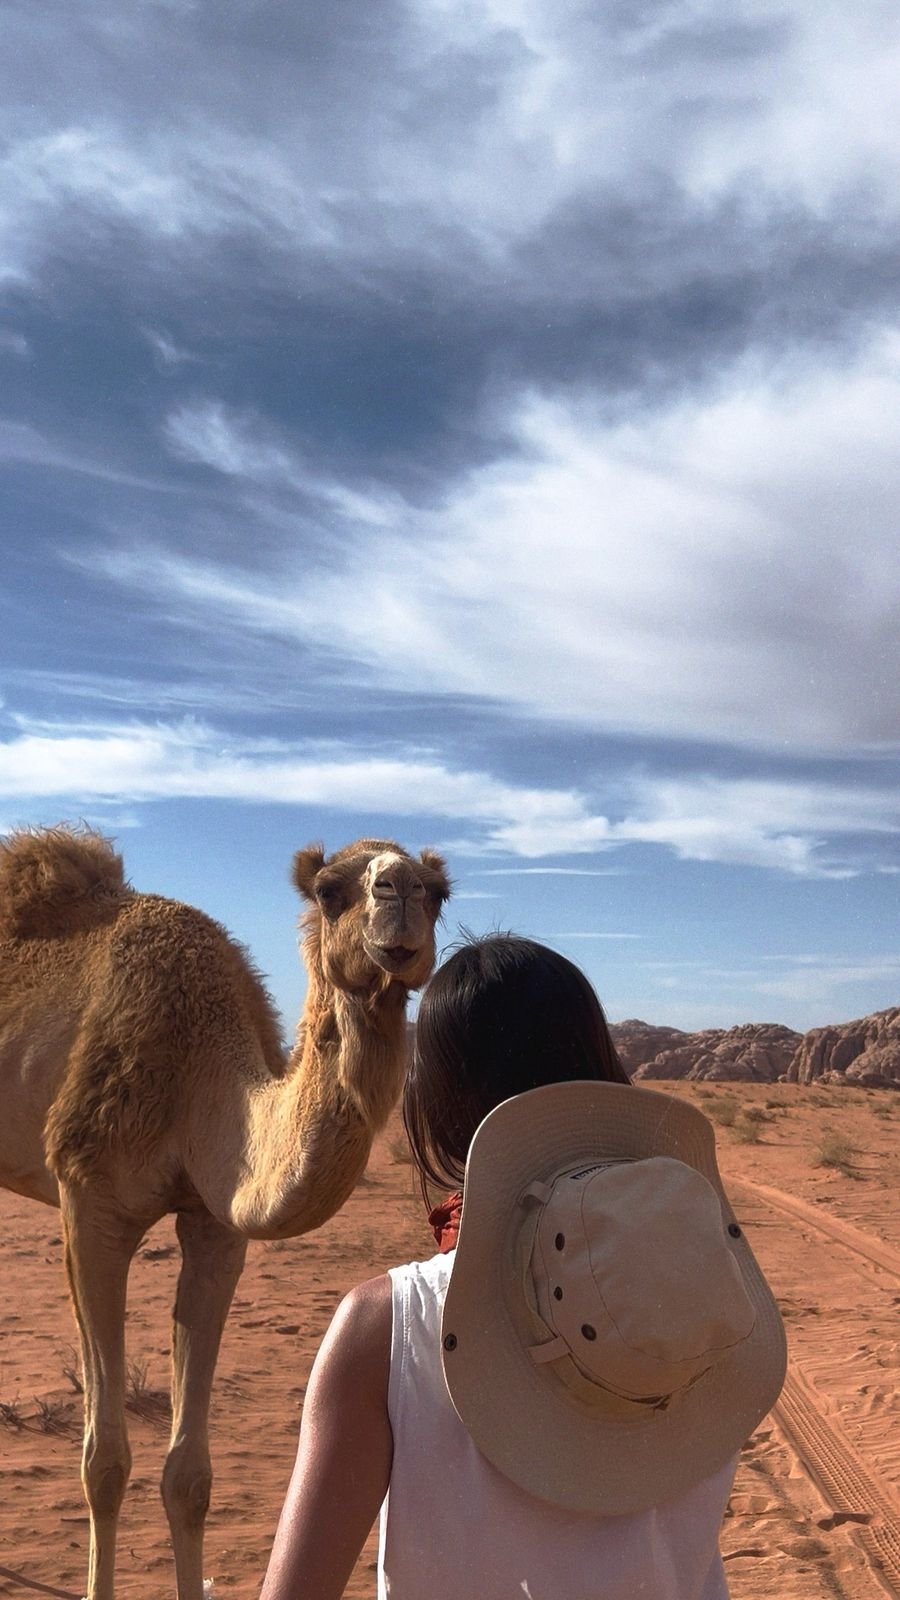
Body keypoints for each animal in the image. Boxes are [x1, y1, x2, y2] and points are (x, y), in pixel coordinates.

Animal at [0, 824, 450, 1600]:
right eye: (329, 889)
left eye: (440, 893)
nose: (401, 898)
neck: (195, 1074)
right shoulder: (88, 1198)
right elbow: (104, 1463)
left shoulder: (216, 1226)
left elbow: (190, 1478)